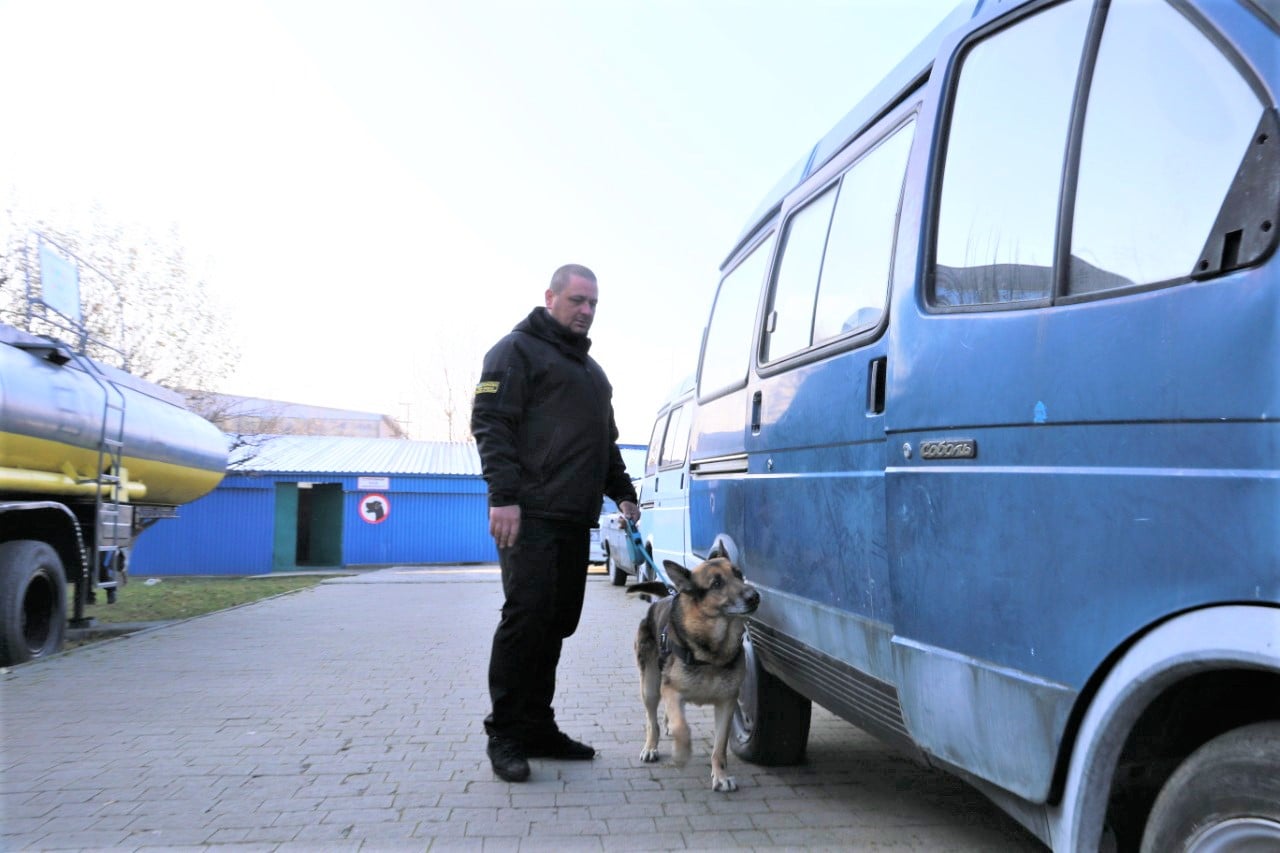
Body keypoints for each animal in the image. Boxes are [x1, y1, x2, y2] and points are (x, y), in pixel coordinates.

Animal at [629, 555, 757, 788]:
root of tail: (664, 598)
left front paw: (721, 776)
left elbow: (719, 747)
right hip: (650, 687)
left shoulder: (726, 703)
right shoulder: (671, 691)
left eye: (739, 574)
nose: (755, 596)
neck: (711, 654)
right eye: (717, 583)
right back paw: (651, 747)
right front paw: (681, 754)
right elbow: (682, 727)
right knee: (652, 721)